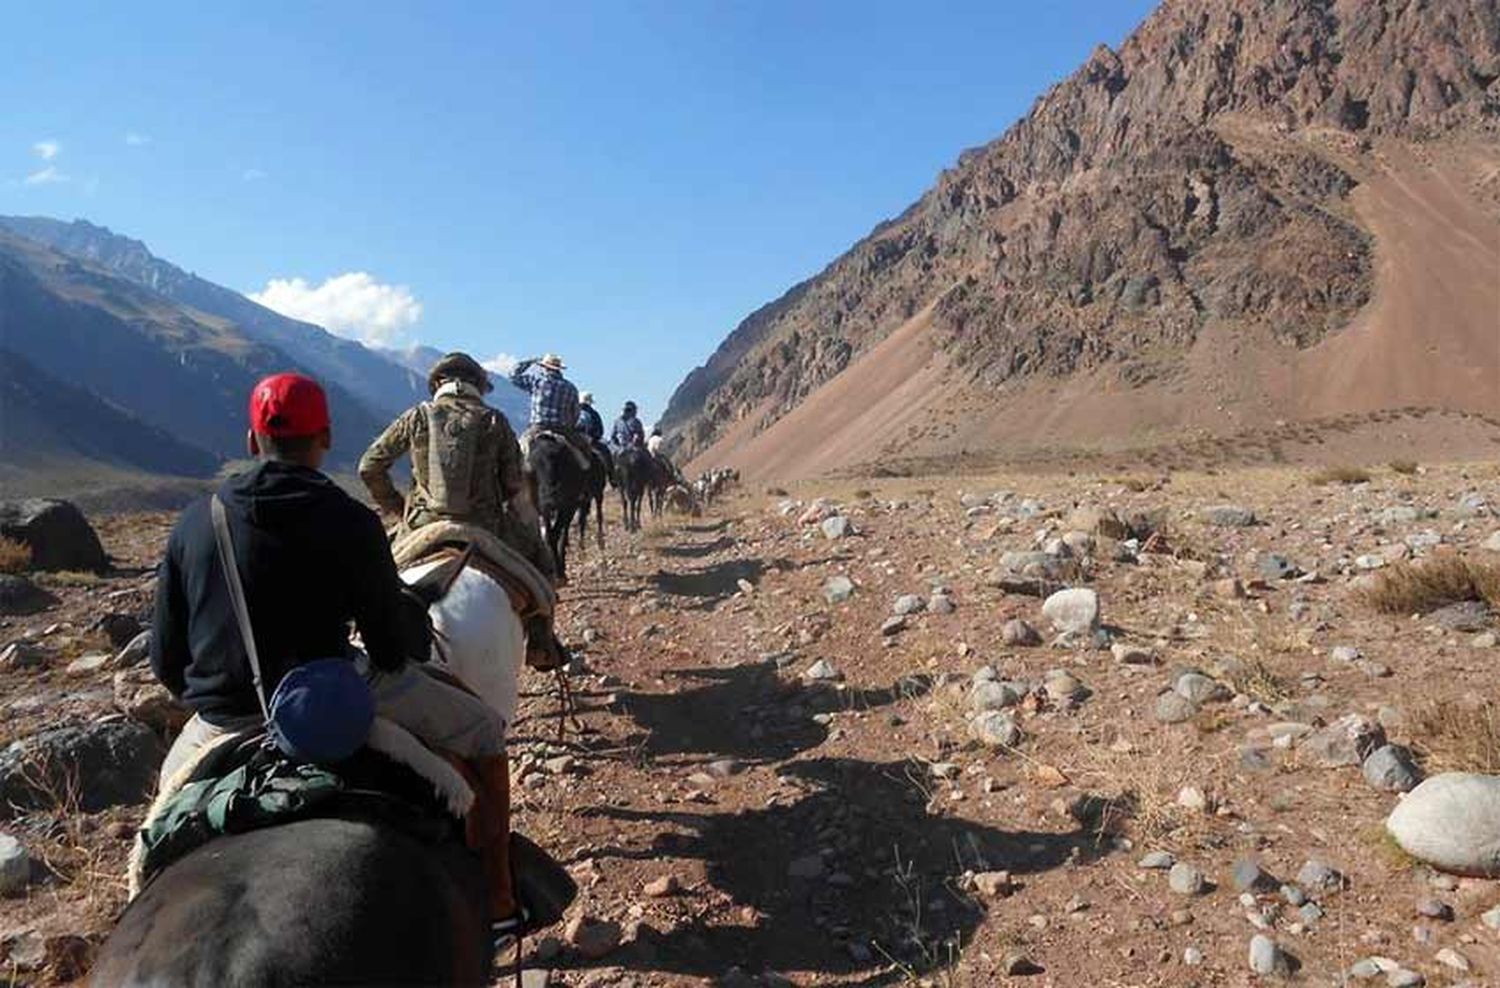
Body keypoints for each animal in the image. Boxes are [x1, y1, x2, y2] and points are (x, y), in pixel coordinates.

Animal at [528, 437, 585, 584]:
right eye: (534, 466)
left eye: (559, 461)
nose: (551, 496)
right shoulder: (544, 510)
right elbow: (550, 535)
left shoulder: (568, 506)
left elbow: (558, 534)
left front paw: (560, 572)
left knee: (562, 532)